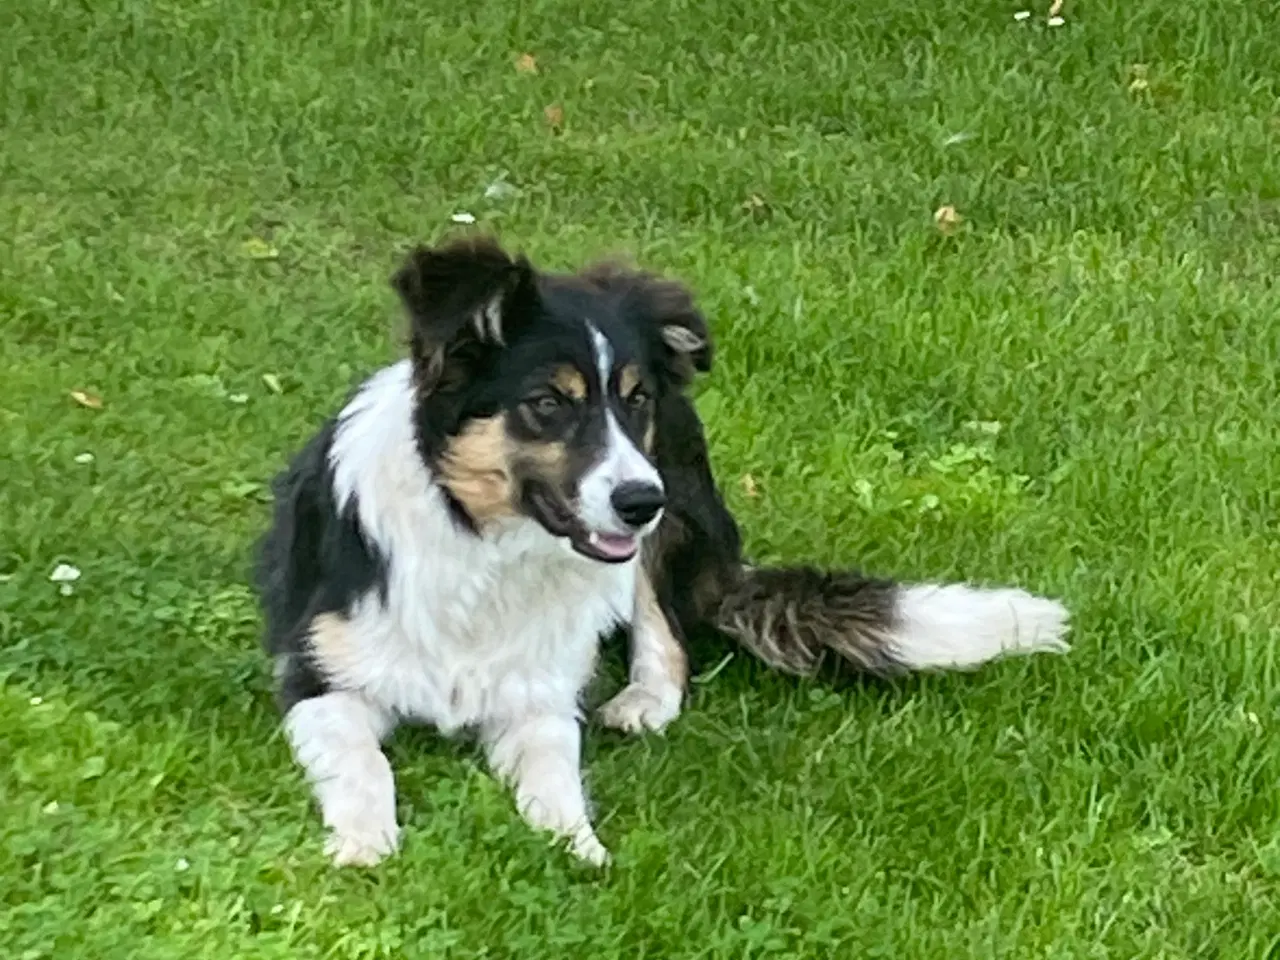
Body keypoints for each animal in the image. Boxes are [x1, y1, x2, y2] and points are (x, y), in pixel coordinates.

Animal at [257, 236, 1070, 870]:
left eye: (634, 398)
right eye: (548, 403)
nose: (637, 501)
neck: (485, 544)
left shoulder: (538, 697)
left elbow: (555, 776)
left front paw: (577, 846)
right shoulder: (319, 679)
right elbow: (366, 764)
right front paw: (365, 844)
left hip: (671, 515)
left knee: (668, 627)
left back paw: (643, 699)